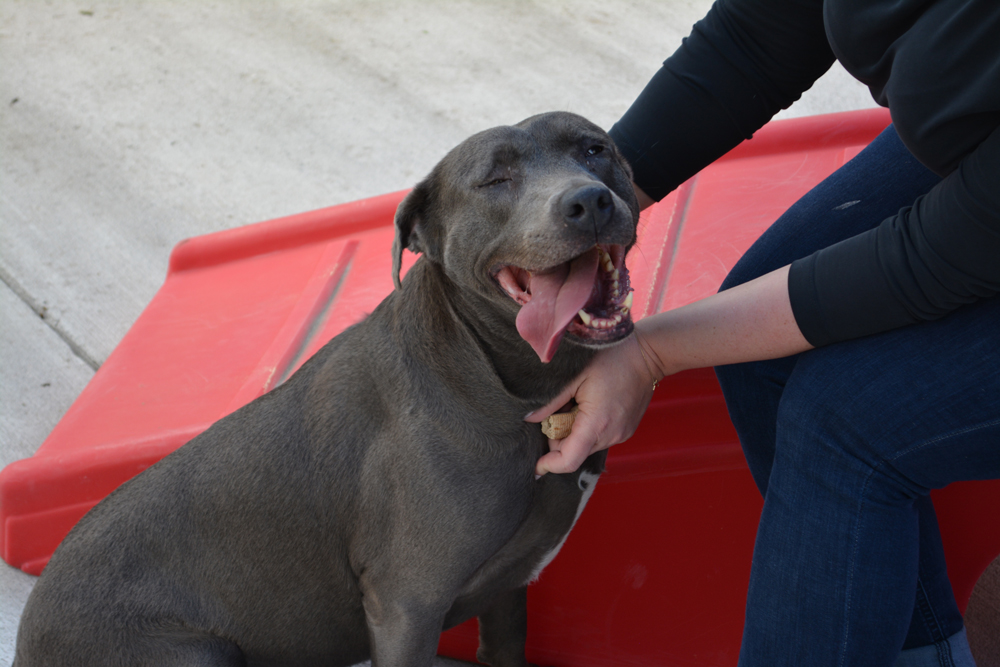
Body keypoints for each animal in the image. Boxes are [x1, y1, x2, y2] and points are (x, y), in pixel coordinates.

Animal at [13, 112, 640, 664]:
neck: (496, 378)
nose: (588, 202)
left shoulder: (509, 590)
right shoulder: (405, 607)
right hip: (195, 653)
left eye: (594, 149)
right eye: (493, 180)